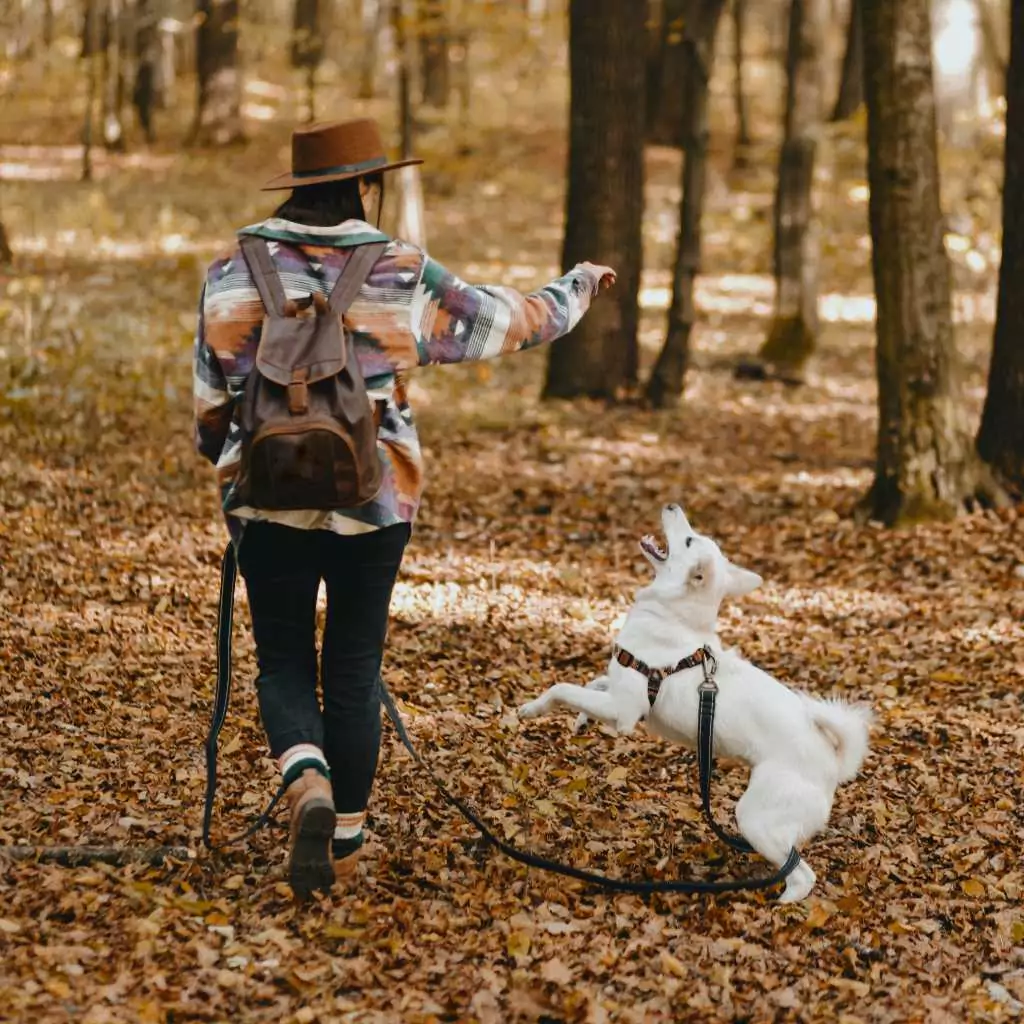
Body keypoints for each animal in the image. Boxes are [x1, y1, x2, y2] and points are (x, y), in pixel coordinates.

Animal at [520, 503, 872, 905]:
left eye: (688, 540)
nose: (672, 506)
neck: (674, 617)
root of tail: (833, 762)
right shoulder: (617, 692)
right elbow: (593, 683)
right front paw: (581, 720)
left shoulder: (624, 712)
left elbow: (562, 687)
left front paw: (533, 709)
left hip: (754, 818)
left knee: (802, 874)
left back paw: (779, 904)